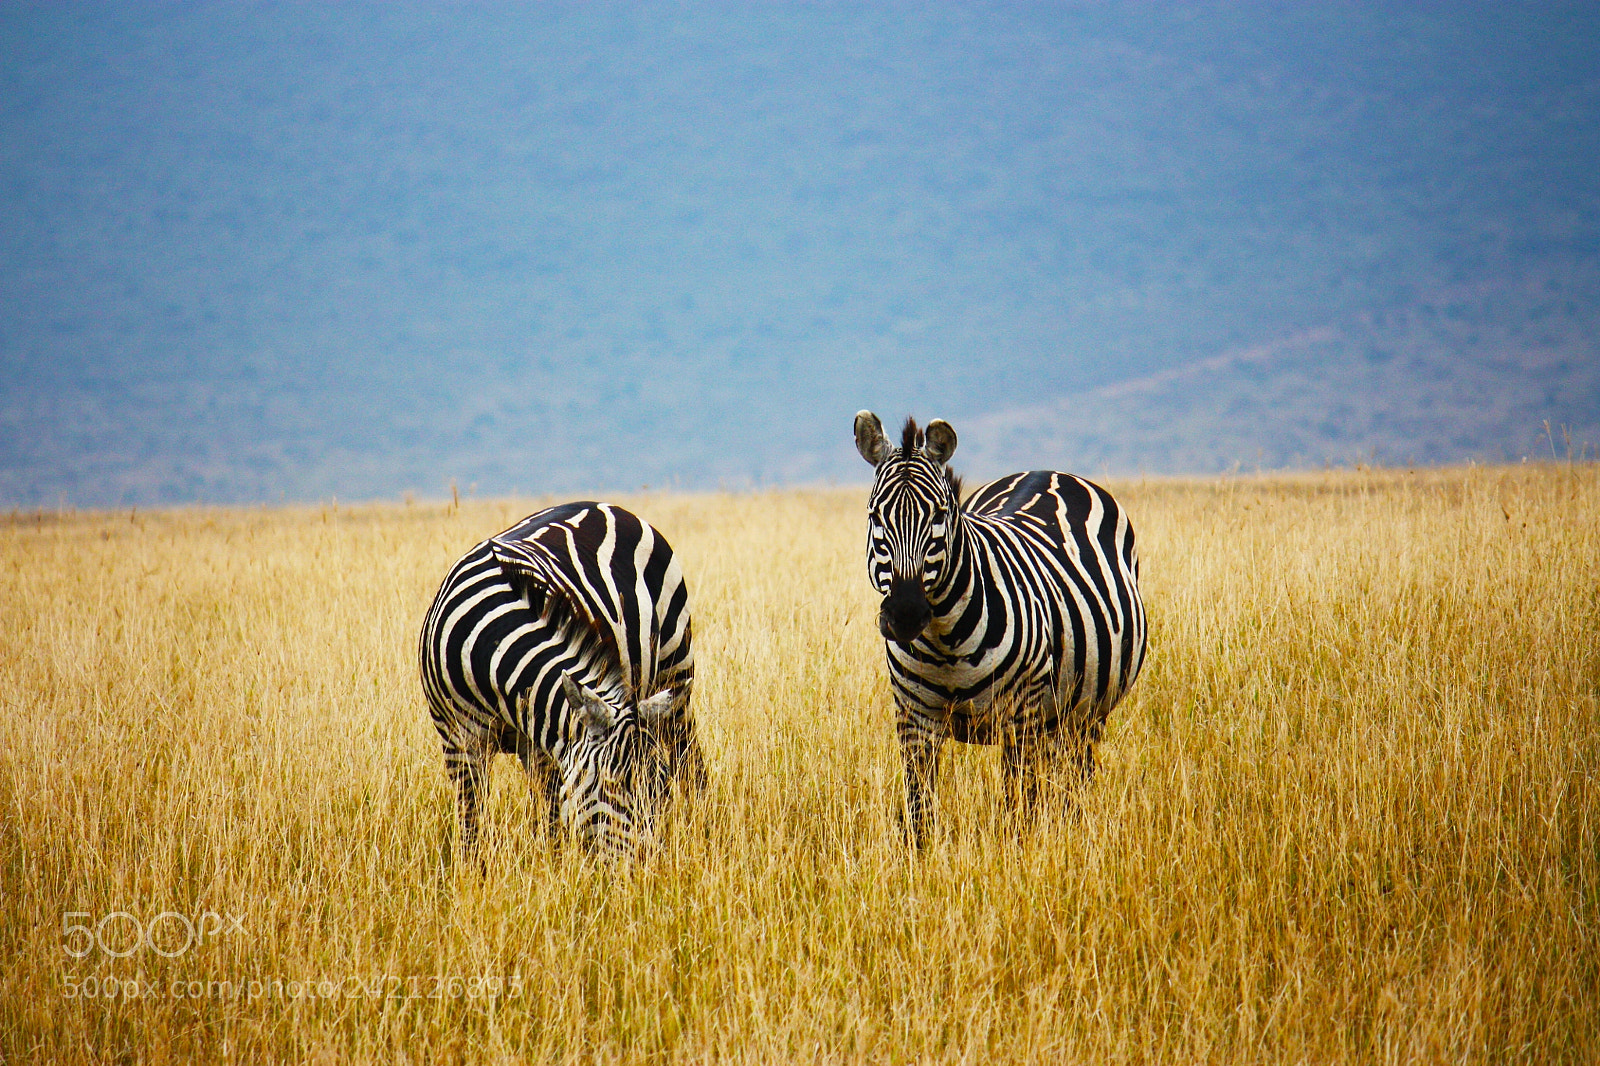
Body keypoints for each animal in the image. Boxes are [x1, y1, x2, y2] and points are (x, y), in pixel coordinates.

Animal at [419, 501, 700, 861]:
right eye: (610, 785)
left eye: (660, 788)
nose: (647, 867)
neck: (492, 648)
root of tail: (602, 504)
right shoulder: (458, 743)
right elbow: (472, 823)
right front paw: (473, 870)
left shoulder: (542, 741)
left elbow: (551, 817)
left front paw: (552, 866)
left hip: (675, 664)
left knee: (689, 760)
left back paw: (701, 823)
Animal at [853, 411, 1147, 844]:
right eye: (875, 516)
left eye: (940, 514)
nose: (906, 615)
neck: (945, 642)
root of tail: (1050, 471)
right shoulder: (913, 717)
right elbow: (920, 811)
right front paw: (922, 859)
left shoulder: (1019, 716)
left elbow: (1017, 808)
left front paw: (1019, 855)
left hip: (1086, 713)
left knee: (1075, 779)